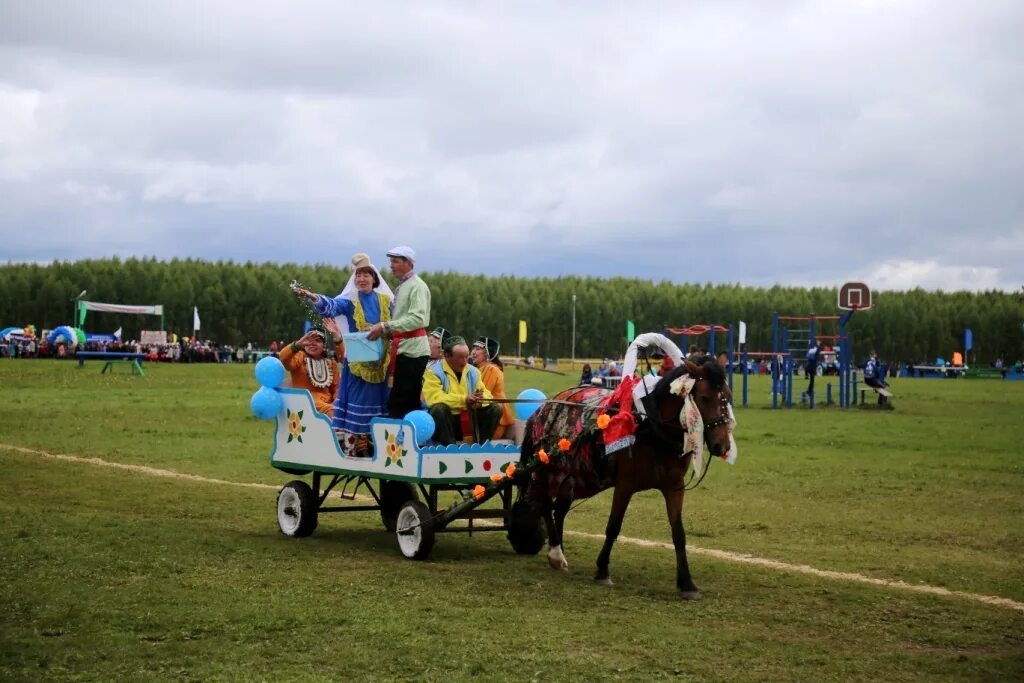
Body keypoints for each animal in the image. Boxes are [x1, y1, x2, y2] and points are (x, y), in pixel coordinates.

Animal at [524, 358, 733, 598]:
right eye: (705, 397)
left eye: (727, 396)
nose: (722, 445)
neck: (653, 430)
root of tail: (545, 406)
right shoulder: (625, 485)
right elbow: (613, 526)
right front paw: (602, 570)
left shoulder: (674, 487)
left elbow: (679, 533)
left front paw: (687, 583)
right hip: (551, 469)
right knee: (545, 505)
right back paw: (556, 554)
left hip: (575, 476)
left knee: (559, 510)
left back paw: (558, 549)